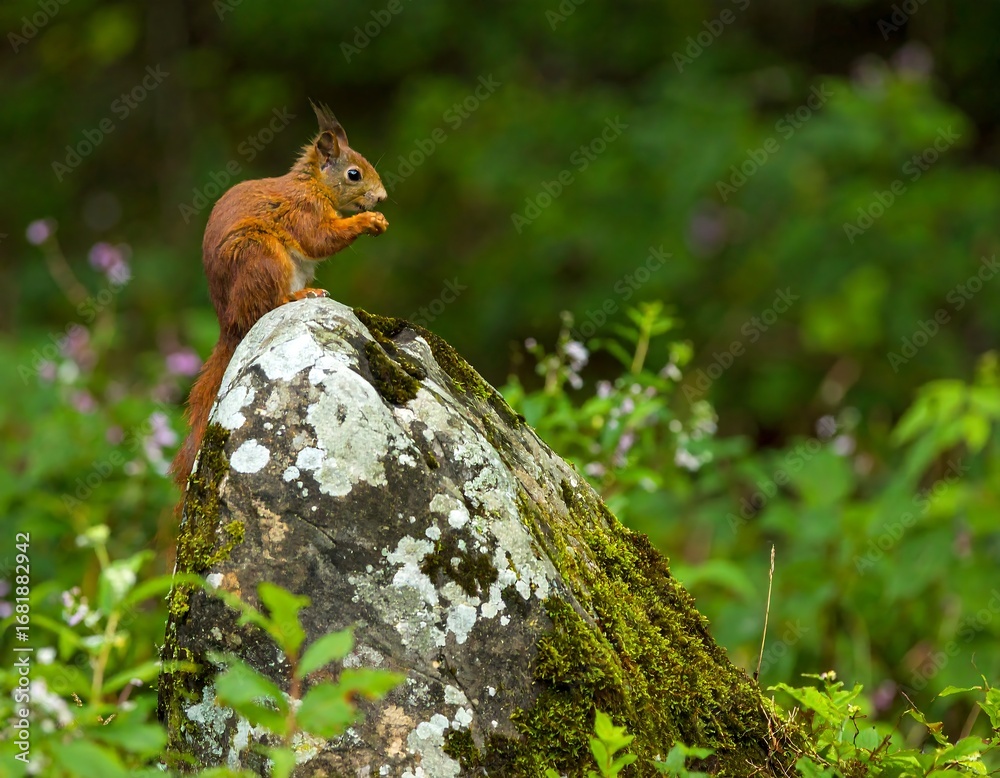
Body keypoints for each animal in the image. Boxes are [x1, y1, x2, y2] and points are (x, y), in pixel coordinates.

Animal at [170, 102, 389, 489]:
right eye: (354, 174)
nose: (382, 198)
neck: (314, 185)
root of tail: (230, 323)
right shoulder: (303, 211)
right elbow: (319, 238)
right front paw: (369, 221)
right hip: (260, 256)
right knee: (266, 305)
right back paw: (298, 296)